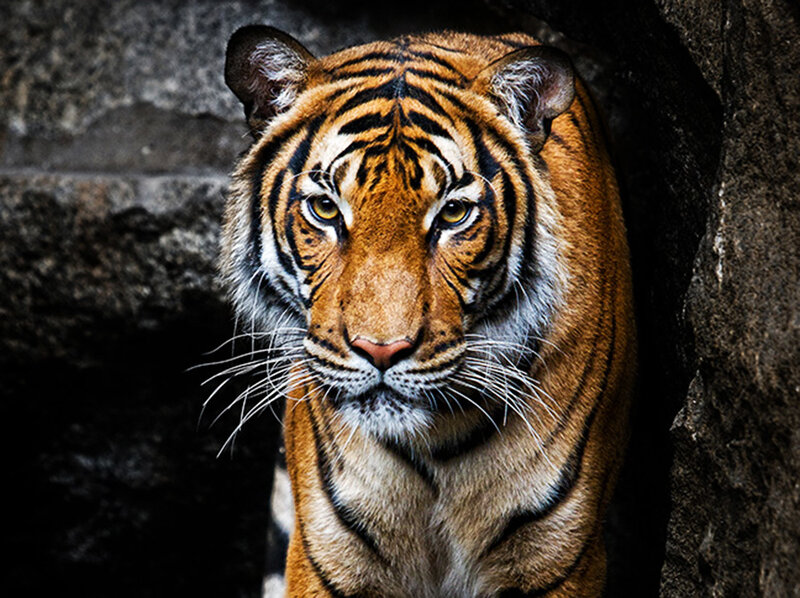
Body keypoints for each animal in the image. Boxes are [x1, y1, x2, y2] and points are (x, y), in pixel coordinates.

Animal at [220, 24, 635, 598]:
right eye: (325, 208)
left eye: (454, 214)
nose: (382, 351)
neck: (437, 445)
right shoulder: (331, 552)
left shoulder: (556, 555)